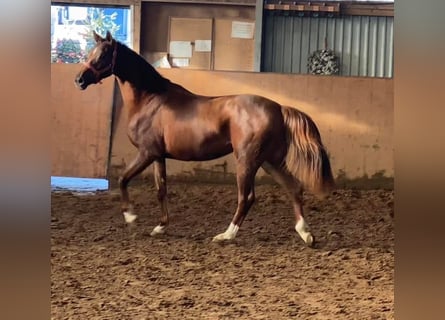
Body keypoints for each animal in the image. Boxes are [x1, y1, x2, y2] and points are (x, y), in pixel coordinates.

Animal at [75, 31, 332, 246]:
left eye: (103, 55)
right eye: (91, 53)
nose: (79, 80)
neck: (150, 100)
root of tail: (278, 107)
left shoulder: (146, 153)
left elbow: (123, 180)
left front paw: (131, 217)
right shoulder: (158, 156)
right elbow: (161, 190)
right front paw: (160, 227)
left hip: (247, 161)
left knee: (247, 197)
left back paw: (225, 235)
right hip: (270, 161)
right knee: (294, 188)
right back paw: (306, 234)